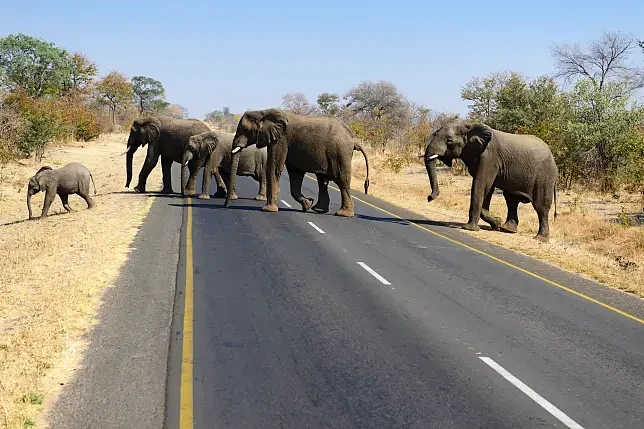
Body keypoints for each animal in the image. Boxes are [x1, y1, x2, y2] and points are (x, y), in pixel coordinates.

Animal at [226, 108, 370, 216]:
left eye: (244, 129)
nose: (226, 206)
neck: (263, 111)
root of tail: (353, 139)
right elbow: (295, 175)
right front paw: (307, 204)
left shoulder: (281, 139)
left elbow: (274, 167)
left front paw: (268, 210)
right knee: (322, 180)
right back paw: (318, 209)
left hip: (339, 152)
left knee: (341, 180)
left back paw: (343, 214)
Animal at [422, 119, 560, 241]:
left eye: (449, 141)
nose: (429, 198)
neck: (468, 126)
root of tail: (552, 157)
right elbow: (488, 189)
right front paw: (496, 223)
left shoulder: (489, 157)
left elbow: (481, 185)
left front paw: (469, 228)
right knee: (511, 200)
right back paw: (507, 229)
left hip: (545, 176)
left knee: (541, 206)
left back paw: (540, 239)